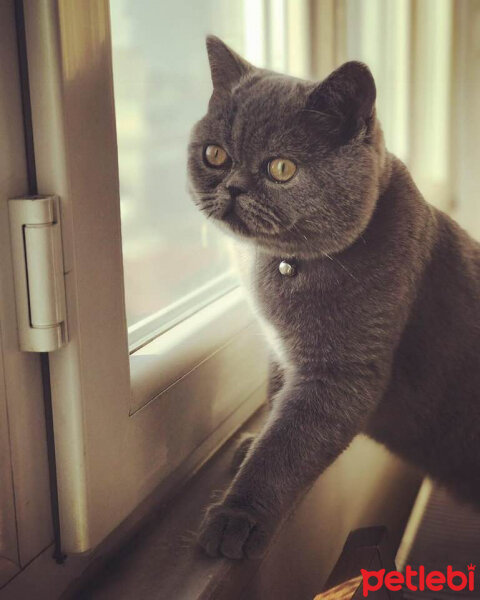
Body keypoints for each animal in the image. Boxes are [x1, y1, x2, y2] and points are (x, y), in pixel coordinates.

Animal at [187, 36, 480, 564]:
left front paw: (235, 519)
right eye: (215, 155)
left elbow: (288, 445)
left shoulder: (341, 373)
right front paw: (251, 442)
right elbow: (275, 399)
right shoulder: (280, 350)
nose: (232, 187)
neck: (282, 268)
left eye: (281, 168)